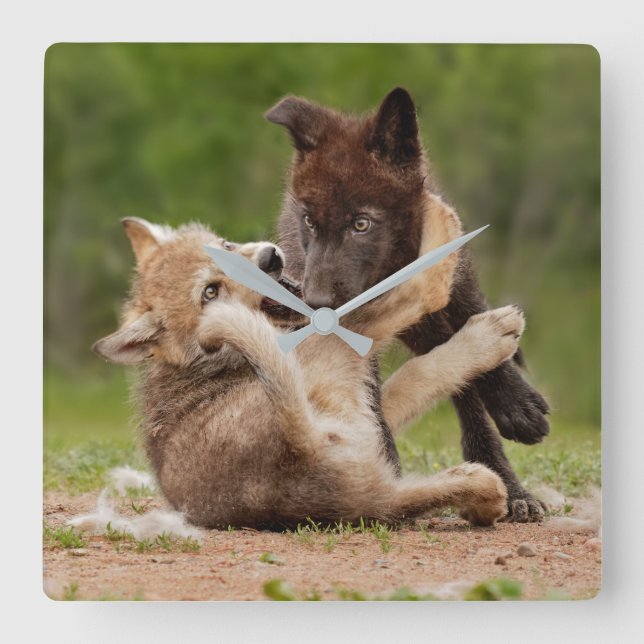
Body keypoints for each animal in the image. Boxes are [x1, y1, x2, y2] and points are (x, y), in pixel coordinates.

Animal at [93, 217, 525, 529]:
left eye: (226, 247)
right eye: (210, 292)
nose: (270, 258)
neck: (210, 362)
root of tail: (297, 449)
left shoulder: (372, 410)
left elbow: (409, 383)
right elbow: (417, 358)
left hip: (377, 480)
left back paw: (484, 496)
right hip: (336, 357)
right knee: (409, 299)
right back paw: (491, 326)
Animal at [266, 87, 550, 521]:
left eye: (361, 224)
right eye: (310, 222)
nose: (312, 302)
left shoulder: (456, 292)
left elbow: (482, 350)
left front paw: (517, 406)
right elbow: (370, 404)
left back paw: (509, 483)